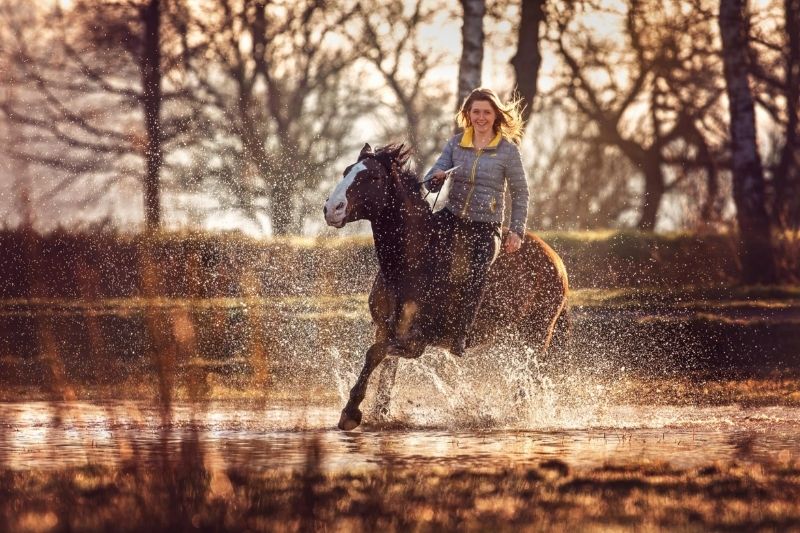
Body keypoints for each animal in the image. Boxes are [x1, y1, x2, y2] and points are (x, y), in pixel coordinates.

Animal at [324, 143, 568, 430]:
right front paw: (376, 412)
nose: (331, 209)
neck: (414, 261)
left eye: (373, 177)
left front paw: (351, 412)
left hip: (538, 333)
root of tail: (556, 260)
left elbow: (374, 354)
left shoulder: (416, 342)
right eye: (346, 171)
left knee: (527, 376)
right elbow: (384, 370)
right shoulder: (386, 329)